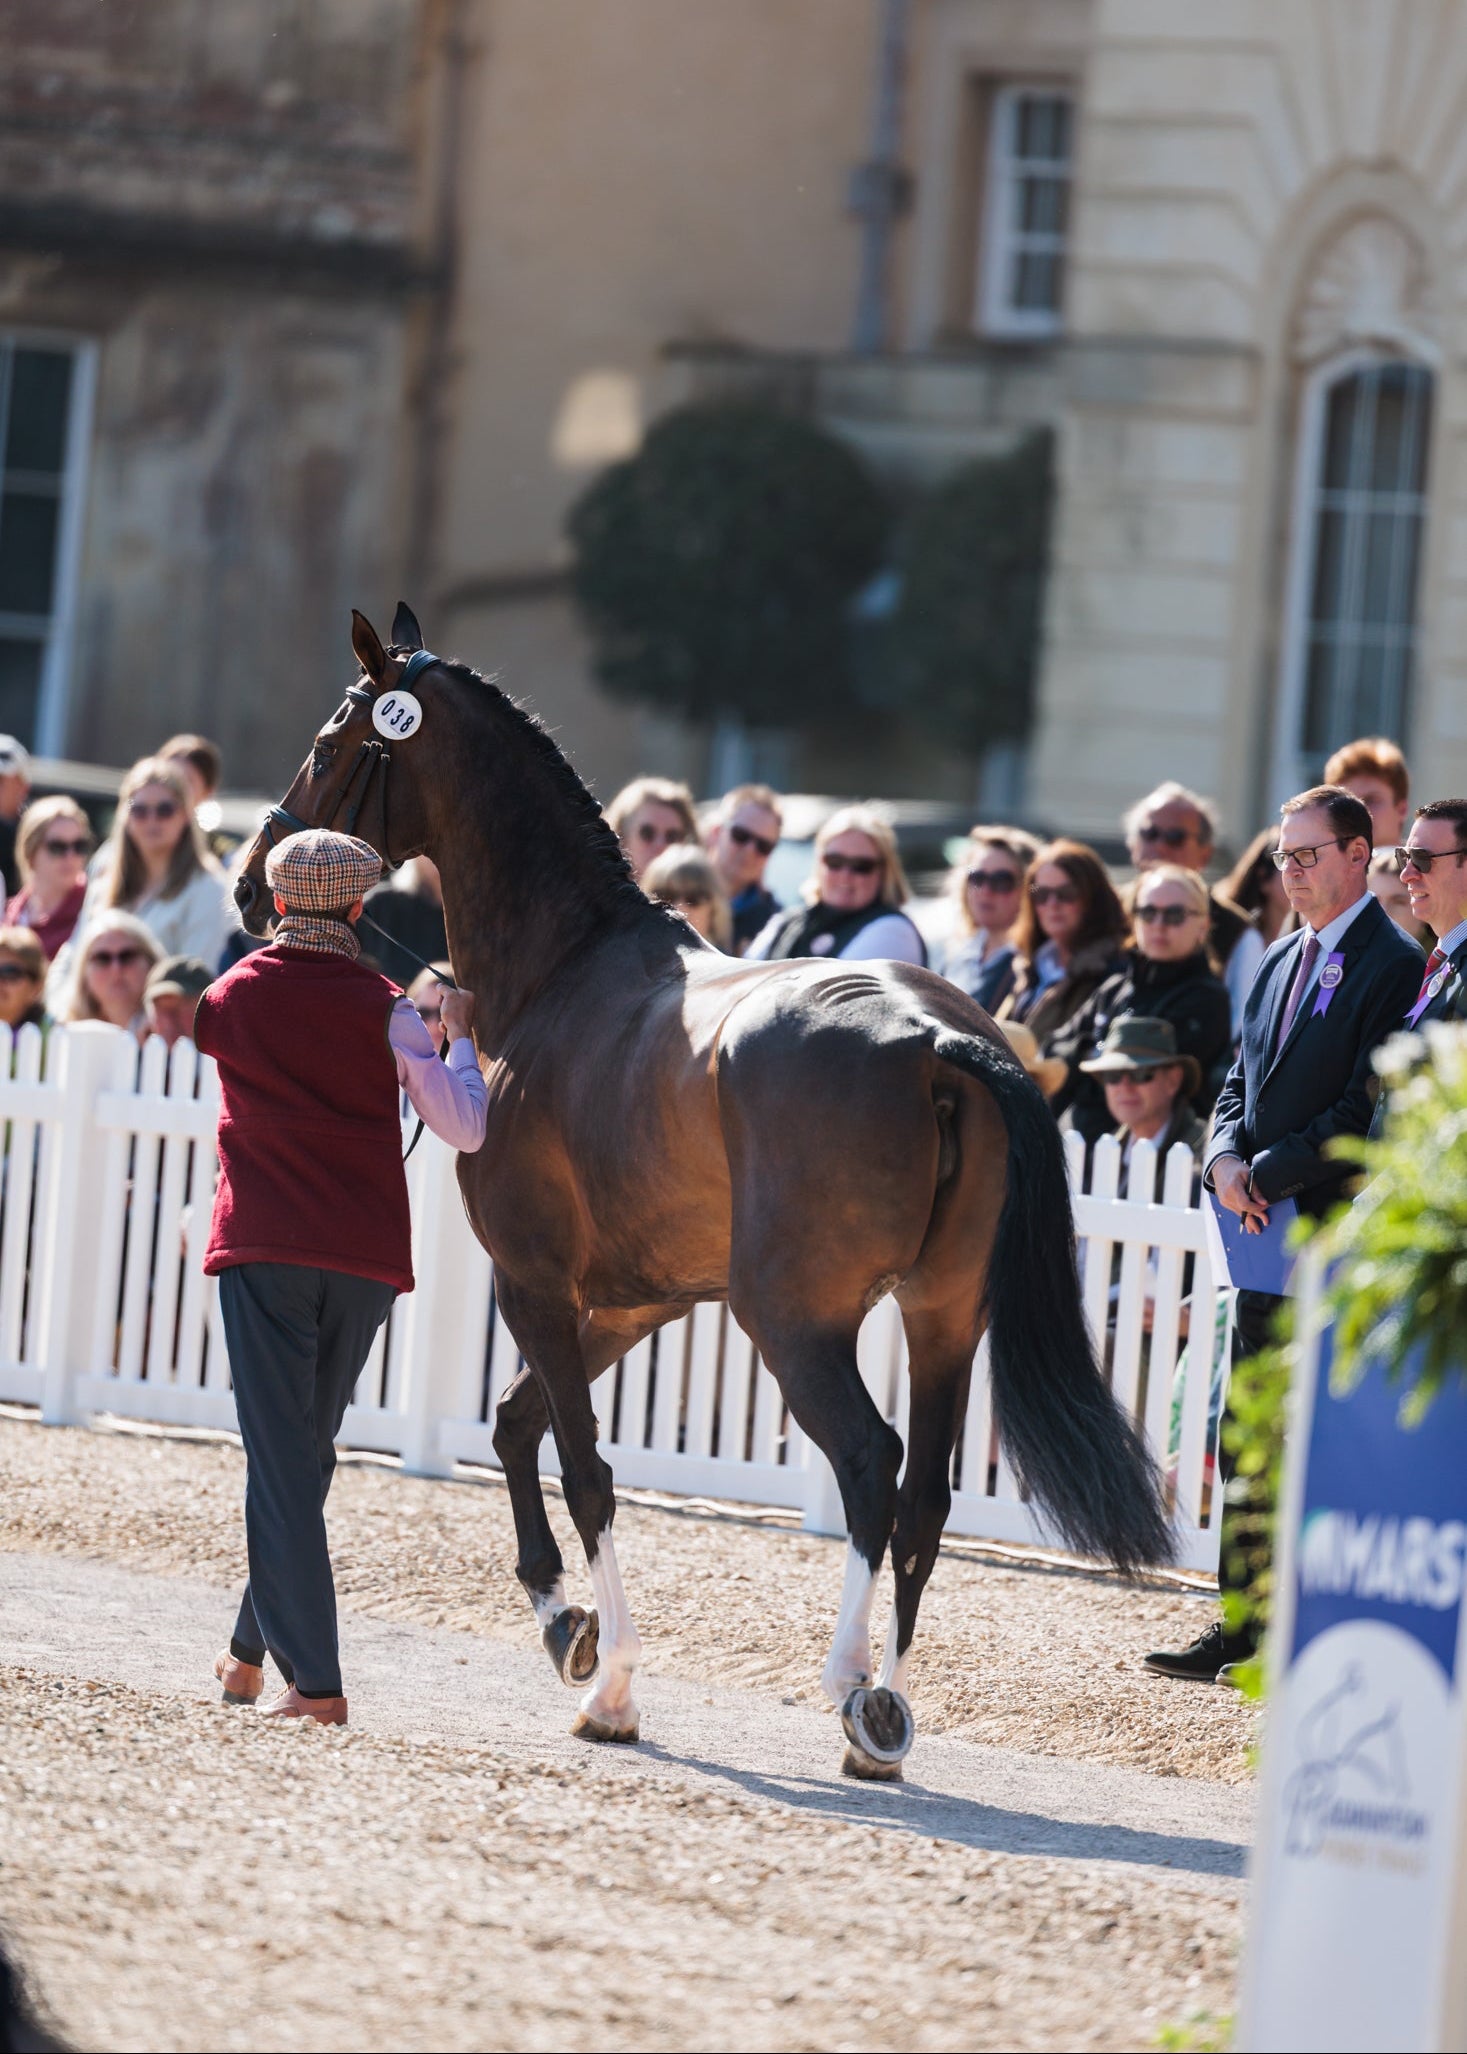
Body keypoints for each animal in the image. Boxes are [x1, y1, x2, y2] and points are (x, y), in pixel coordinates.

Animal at [233, 605, 1173, 1779]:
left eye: (330, 745)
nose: (249, 880)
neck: (566, 970)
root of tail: (937, 1037)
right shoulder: (638, 1300)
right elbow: (514, 1423)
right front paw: (565, 1623)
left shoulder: (534, 1282)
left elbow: (583, 1463)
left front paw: (613, 1684)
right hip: (943, 1314)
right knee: (924, 1493)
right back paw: (888, 1715)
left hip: (796, 1320)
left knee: (869, 1462)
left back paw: (851, 1691)